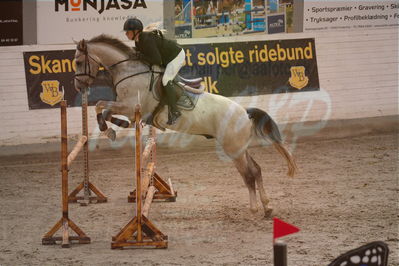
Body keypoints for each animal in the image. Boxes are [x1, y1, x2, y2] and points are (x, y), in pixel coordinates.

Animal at [73, 34, 298, 217]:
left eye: (78, 61)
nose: (78, 86)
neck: (129, 72)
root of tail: (244, 112)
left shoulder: (130, 106)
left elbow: (101, 106)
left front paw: (109, 128)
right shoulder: (126, 107)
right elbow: (104, 110)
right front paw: (114, 127)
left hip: (233, 150)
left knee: (249, 175)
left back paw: (254, 208)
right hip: (239, 148)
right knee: (256, 170)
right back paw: (267, 207)